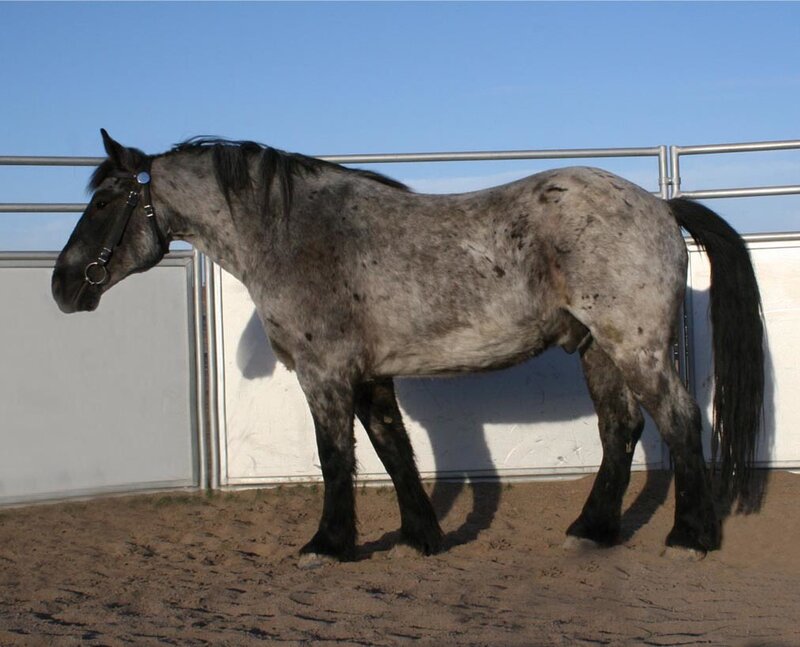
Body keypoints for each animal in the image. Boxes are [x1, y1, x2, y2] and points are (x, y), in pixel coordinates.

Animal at [52, 130, 764, 561]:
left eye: (107, 200)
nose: (64, 285)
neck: (295, 234)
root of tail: (662, 208)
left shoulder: (326, 374)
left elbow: (336, 458)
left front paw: (329, 544)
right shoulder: (369, 376)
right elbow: (393, 452)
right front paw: (424, 537)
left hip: (634, 347)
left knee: (678, 422)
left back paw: (690, 536)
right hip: (597, 349)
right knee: (620, 429)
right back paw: (592, 530)